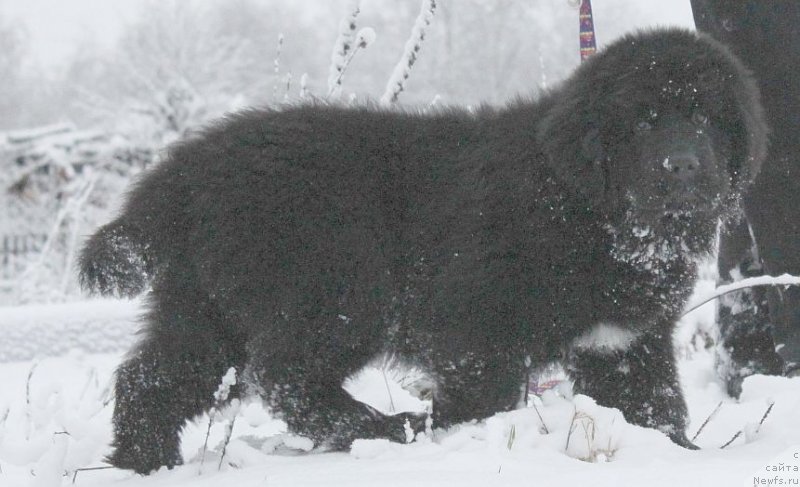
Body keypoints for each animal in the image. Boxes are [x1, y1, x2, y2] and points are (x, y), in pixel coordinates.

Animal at [83, 28, 768, 474]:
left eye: (707, 119)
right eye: (646, 118)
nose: (684, 167)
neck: (592, 214)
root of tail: (186, 169)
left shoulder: (624, 342)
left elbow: (654, 404)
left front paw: (683, 457)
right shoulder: (475, 323)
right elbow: (488, 394)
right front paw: (462, 434)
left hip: (208, 304)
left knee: (156, 376)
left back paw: (143, 463)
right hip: (336, 290)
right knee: (284, 376)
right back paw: (387, 429)